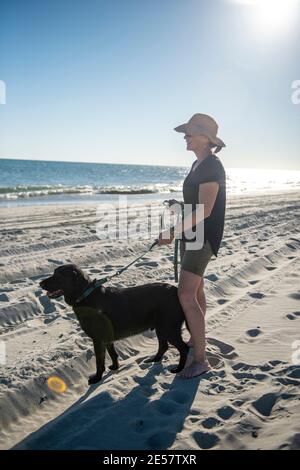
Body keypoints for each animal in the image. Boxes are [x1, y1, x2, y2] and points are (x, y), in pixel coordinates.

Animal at [39, 262, 189, 384]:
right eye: (54, 273)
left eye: (59, 276)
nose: (40, 284)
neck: (86, 295)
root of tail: (176, 291)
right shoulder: (106, 337)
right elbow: (112, 353)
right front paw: (115, 367)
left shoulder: (98, 339)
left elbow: (99, 361)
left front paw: (97, 378)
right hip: (161, 327)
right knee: (163, 346)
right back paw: (154, 360)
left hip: (168, 328)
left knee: (184, 348)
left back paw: (178, 369)